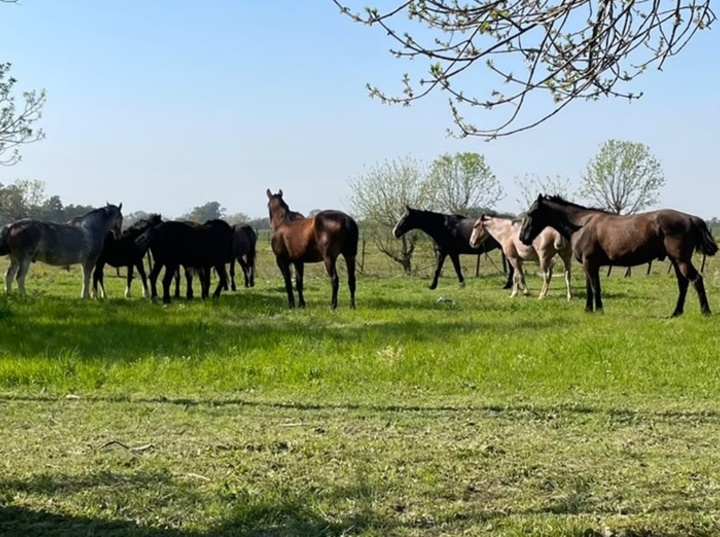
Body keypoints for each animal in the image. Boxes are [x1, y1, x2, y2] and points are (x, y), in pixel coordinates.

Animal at [519, 195, 718, 316]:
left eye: (531, 213)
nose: (522, 237)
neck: (582, 224)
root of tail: (691, 218)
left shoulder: (590, 263)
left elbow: (595, 288)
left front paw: (598, 310)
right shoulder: (589, 265)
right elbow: (590, 288)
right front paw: (589, 310)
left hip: (681, 260)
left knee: (696, 280)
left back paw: (705, 312)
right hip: (676, 261)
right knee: (683, 284)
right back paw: (676, 313)